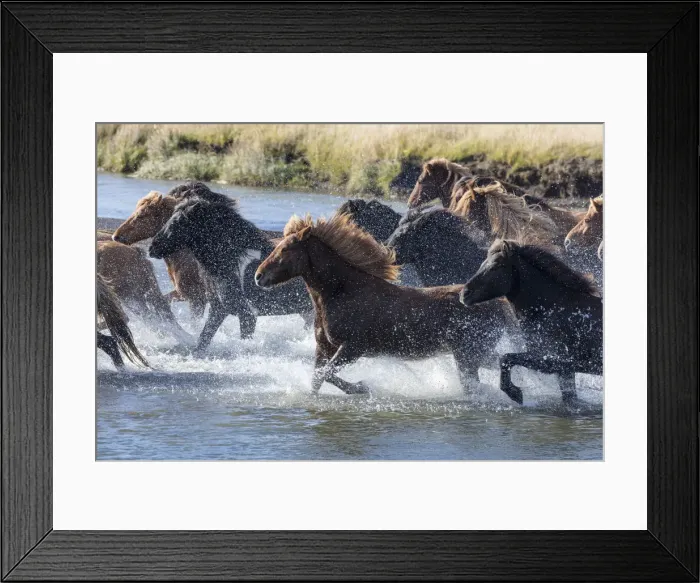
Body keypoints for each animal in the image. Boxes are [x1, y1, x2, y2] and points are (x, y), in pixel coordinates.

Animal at [149, 193, 312, 352]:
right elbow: (202, 341)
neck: (233, 261)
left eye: (179, 222)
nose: (152, 248)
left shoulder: (247, 315)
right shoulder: (218, 310)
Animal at [254, 212, 512, 395]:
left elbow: (326, 375)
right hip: (474, 354)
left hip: (468, 354)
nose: (258, 276)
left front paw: (362, 387)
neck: (340, 293)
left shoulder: (353, 348)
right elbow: (316, 380)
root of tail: (500, 305)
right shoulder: (324, 347)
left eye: (285, 249)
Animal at [460, 239, 602, 406]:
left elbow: (506, 358)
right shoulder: (564, 369)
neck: (550, 308)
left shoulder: (554, 362)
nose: (464, 294)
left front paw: (514, 392)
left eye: (496, 266)